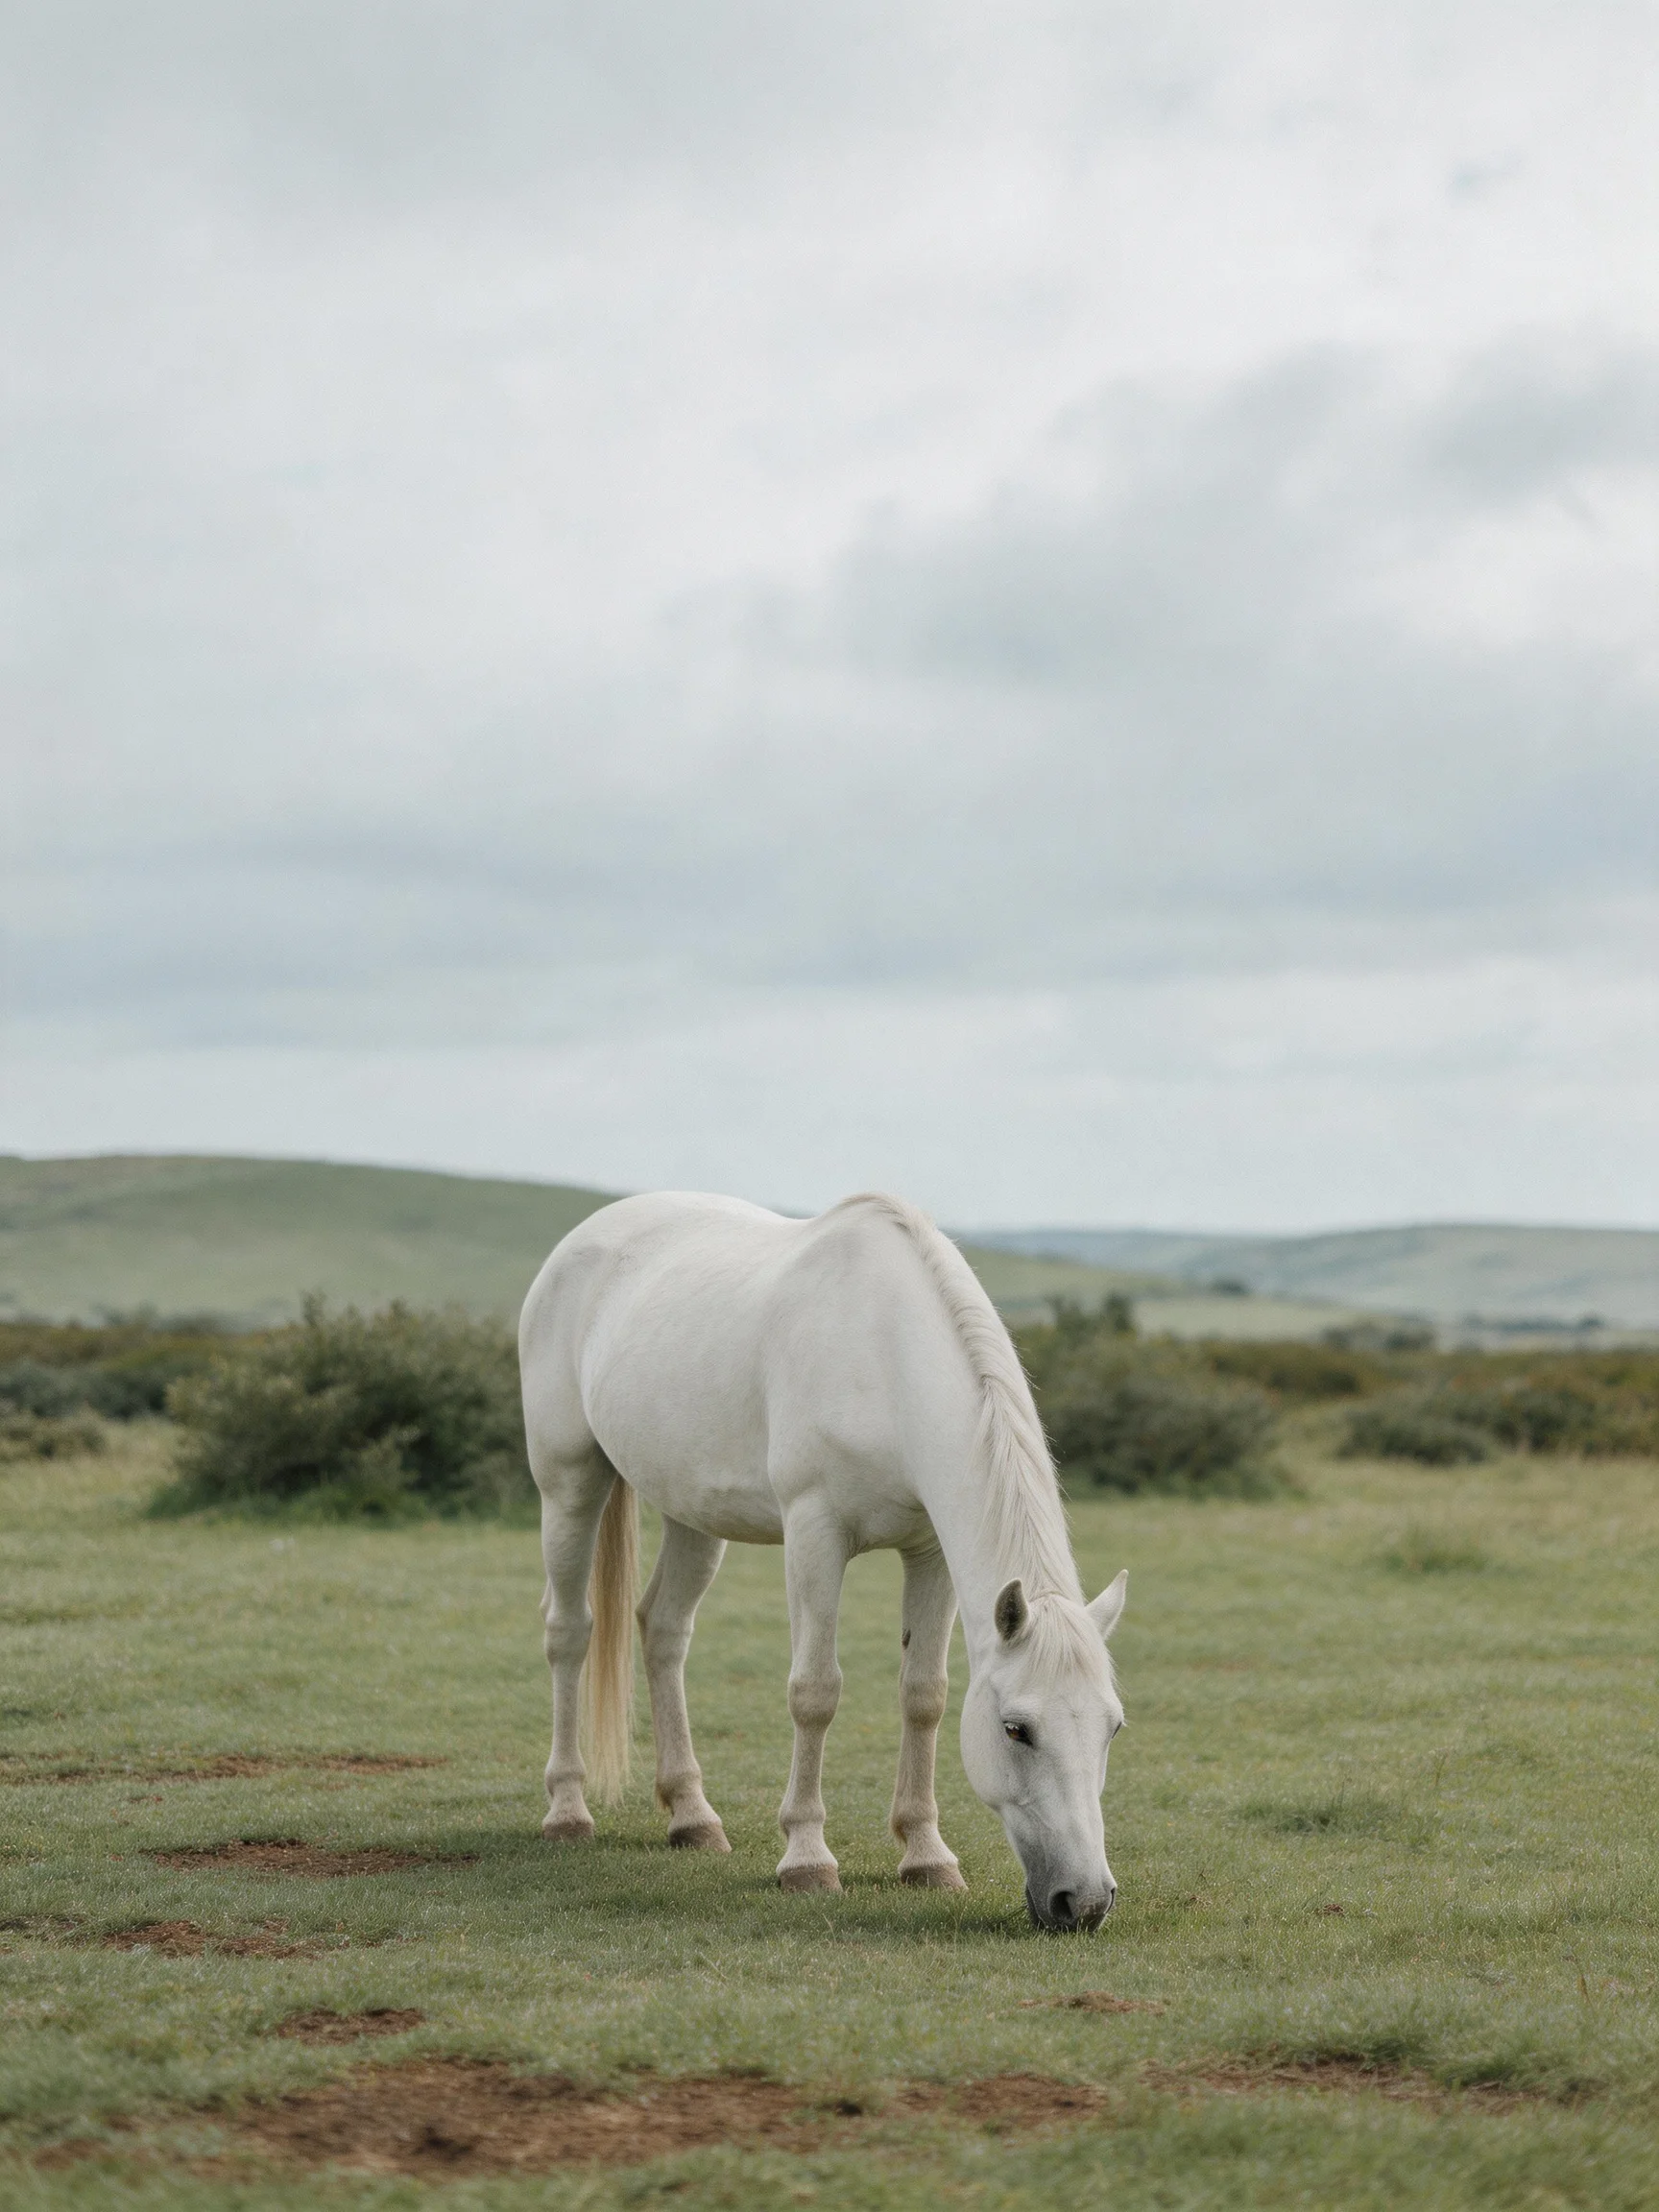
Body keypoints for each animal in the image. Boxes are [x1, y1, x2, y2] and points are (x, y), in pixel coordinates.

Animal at [518, 1189, 1129, 1931]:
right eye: (1017, 1729)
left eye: (1113, 1726)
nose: (1084, 1901)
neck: (885, 1354)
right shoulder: (815, 1534)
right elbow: (815, 1692)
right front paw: (807, 1859)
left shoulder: (928, 1551)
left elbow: (924, 1695)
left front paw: (926, 1856)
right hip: (569, 1483)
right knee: (569, 1632)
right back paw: (567, 1809)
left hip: (692, 1512)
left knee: (662, 1629)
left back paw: (692, 1817)